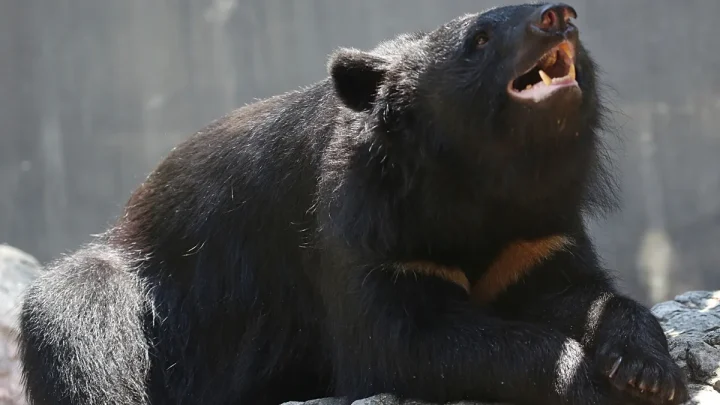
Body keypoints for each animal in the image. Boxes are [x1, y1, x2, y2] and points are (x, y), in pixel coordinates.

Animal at [18, 3, 688, 405]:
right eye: (479, 38)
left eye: (563, 19)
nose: (559, 15)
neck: (480, 184)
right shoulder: (364, 233)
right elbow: (401, 342)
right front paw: (582, 381)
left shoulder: (536, 231)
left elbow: (579, 292)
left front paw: (648, 372)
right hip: (133, 287)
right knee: (77, 326)